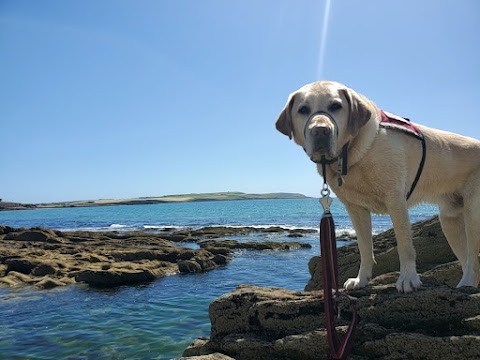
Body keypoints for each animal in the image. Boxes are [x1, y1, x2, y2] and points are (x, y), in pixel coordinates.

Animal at [276, 81, 480, 292]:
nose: (320, 131)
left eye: (336, 106)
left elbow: (405, 245)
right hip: (450, 220)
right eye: (303, 110)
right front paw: (361, 279)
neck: (351, 152)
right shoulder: (356, 209)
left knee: (474, 259)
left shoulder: (396, 200)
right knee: (467, 259)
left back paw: (465, 284)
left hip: (473, 213)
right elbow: (365, 247)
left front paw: (408, 279)